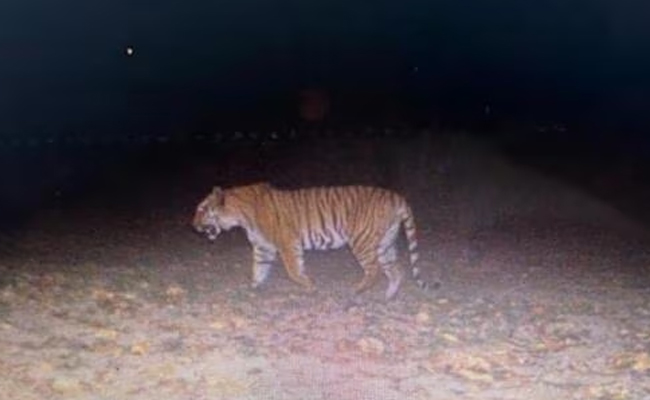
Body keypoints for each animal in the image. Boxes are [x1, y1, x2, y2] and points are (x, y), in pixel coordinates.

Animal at [192, 182, 430, 300]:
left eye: (202, 209)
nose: (192, 225)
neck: (240, 216)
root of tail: (396, 196)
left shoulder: (287, 243)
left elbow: (293, 270)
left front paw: (309, 286)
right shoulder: (263, 248)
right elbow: (258, 268)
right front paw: (252, 287)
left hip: (362, 241)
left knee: (375, 270)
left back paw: (357, 291)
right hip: (384, 243)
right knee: (396, 270)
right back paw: (389, 296)